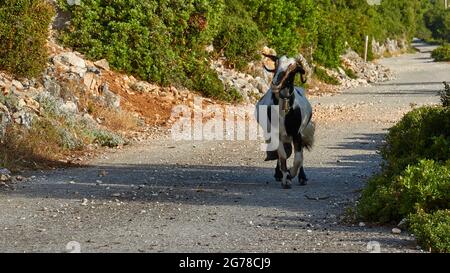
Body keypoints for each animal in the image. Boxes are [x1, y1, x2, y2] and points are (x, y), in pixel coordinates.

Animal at [255, 54, 314, 188]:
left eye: (293, 69)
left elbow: (298, 158)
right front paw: (286, 178)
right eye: (276, 64)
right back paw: (279, 174)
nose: (275, 84)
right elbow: (282, 155)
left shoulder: (297, 134)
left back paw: (302, 177)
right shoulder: (276, 134)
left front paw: (292, 174)